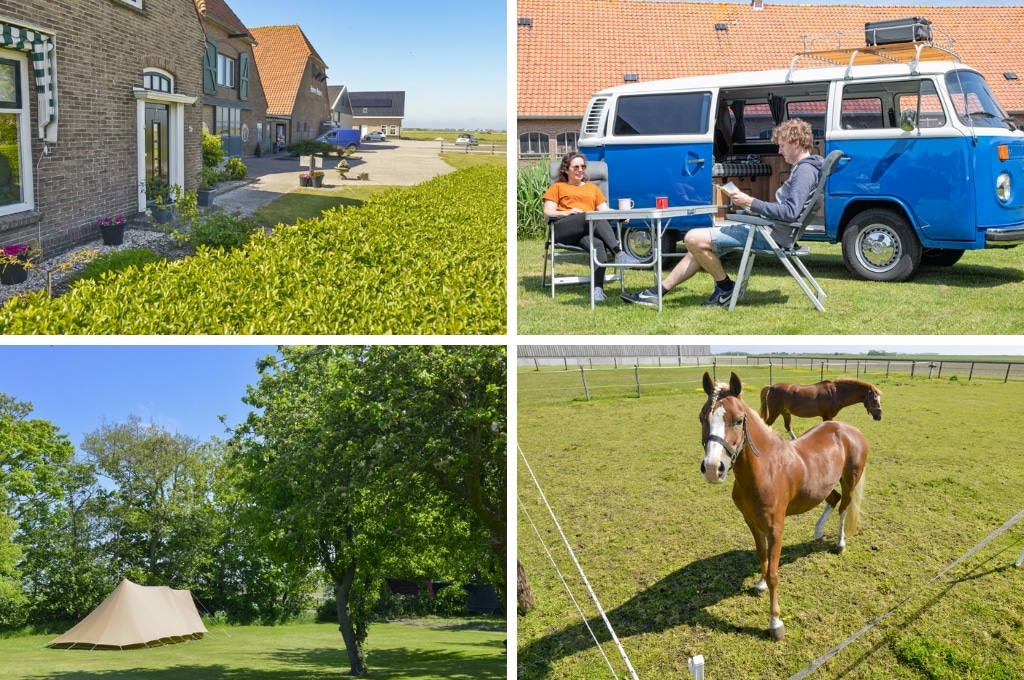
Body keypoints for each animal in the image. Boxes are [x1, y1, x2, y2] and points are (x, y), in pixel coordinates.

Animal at [700, 374, 868, 639]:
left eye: (738, 420)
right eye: (702, 418)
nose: (712, 468)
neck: (765, 468)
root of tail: (850, 430)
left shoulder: (775, 528)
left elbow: (774, 574)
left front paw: (775, 622)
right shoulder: (752, 522)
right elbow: (762, 557)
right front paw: (759, 583)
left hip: (850, 480)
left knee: (843, 508)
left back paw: (839, 544)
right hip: (822, 486)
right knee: (833, 500)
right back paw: (819, 533)